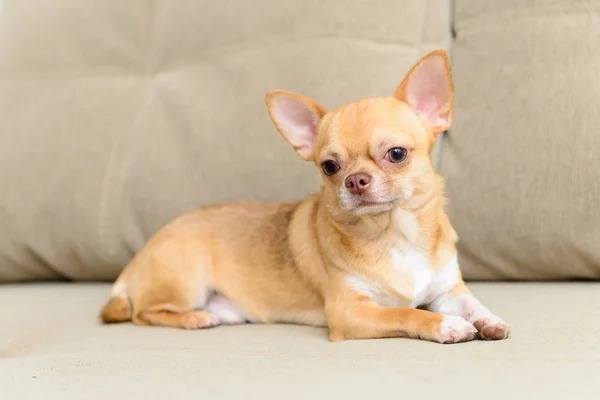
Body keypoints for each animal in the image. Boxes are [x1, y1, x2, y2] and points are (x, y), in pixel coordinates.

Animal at [99, 50, 510, 344]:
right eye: (329, 167)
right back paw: (197, 318)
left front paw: (488, 319)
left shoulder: (447, 289)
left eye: (396, 154)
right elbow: (407, 312)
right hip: (186, 278)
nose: (355, 180)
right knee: (142, 313)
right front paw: (446, 325)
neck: (393, 233)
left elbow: (471, 302)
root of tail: (136, 260)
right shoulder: (350, 312)